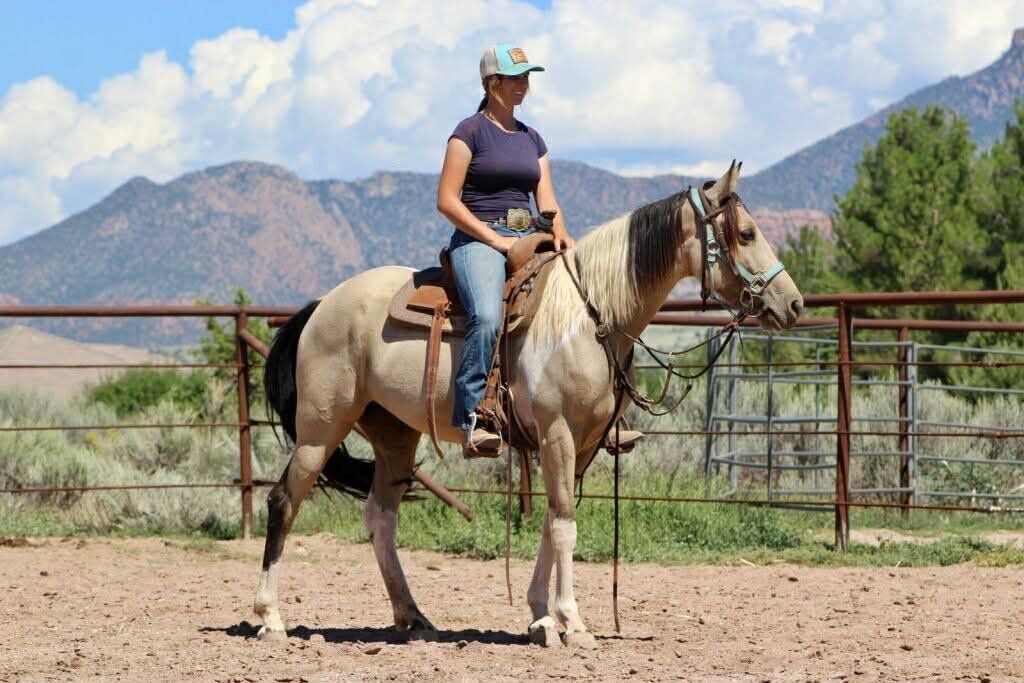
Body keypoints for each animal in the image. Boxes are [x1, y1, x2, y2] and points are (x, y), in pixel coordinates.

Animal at [252, 162, 803, 648]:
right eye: (747, 233)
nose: (794, 303)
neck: (588, 317)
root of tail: (322, 304)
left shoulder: (582, 444)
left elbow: (551, 522)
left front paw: (541, 617)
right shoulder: (557, 433)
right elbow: (564, 527)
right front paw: (572, 623)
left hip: (394, 435)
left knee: (381, 519)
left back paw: (413, 617)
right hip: (320, 428)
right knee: (284, 501)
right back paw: (270, 618)